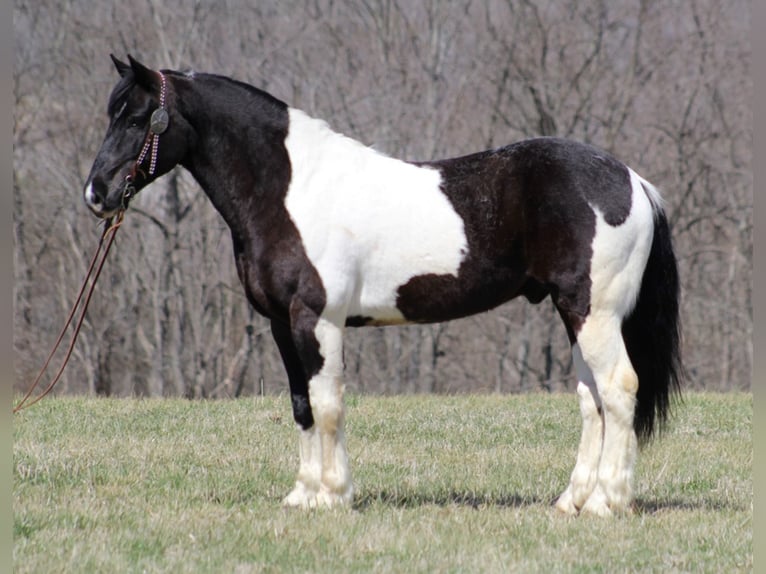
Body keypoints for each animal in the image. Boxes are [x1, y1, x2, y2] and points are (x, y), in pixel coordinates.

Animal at [84, 56, 684, 520]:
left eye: (138, 117)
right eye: (112, 112)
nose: (96, 193)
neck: (291, 189)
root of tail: (633, 181)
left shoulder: (317, 320)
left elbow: (328, 405)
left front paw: (334, 496)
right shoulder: (282, 323)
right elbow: (301, 405)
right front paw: (303, 496)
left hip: (595, 314)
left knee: (619, 389)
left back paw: (607, 502)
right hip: (574, 313)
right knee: (592, 400)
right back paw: (572, 501)